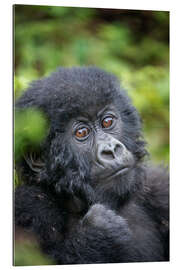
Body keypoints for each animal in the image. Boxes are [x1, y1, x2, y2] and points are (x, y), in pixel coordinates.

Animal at [15, 67, 169, 264]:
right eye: (82, 132)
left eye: (107, 122)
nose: (111, 150)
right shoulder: (28, 204)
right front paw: (99, 233)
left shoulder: (160, 184)